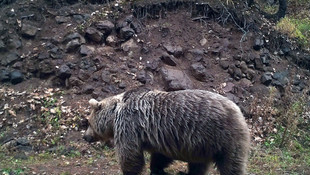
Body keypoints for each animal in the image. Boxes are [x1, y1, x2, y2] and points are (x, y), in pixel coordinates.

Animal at [83, 88, 251, 174]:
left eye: (88, 122)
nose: (85, 137)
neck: (115, 113)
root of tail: (239, 111)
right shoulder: (161, 137)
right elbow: (160, 156)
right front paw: (156, 169)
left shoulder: (129, 125)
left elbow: (130, 155)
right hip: (203, 146)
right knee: (198, 165)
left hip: (223, 137)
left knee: (231, 165)